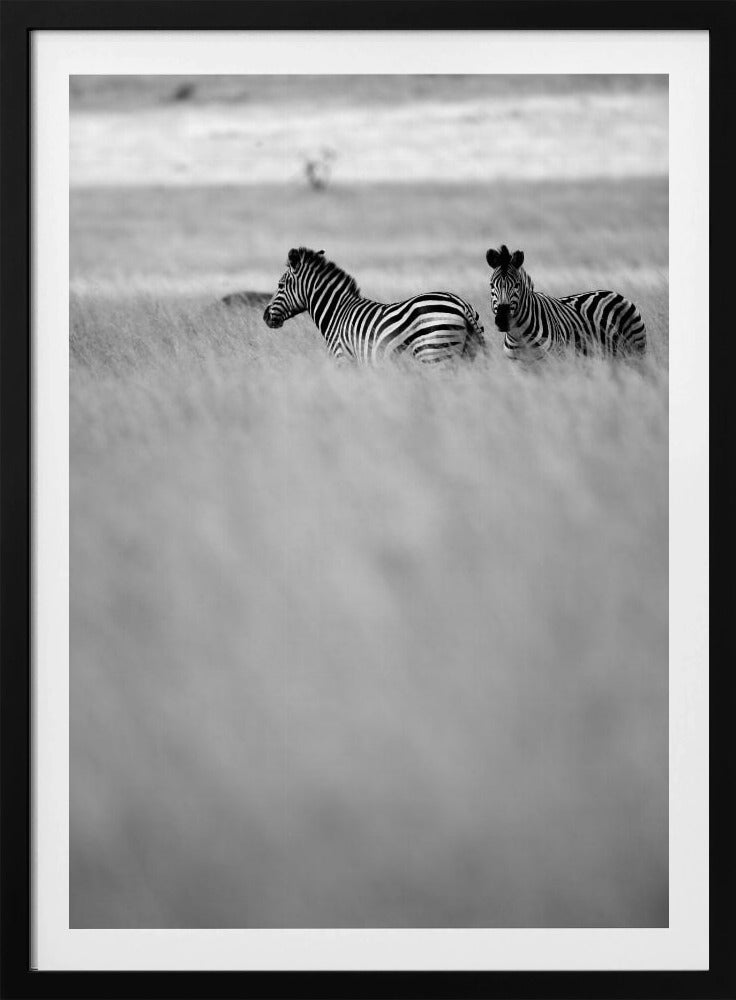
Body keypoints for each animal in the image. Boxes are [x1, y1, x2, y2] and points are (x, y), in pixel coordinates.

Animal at [263, 247, 485, 365]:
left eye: (280, 286)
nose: (265, 317)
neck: (337, 313)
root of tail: (460, 303)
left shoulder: (343, 359)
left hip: (434, 354)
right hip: (465, 356)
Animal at [486, 245, 647, 360]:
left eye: (517, 285)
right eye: (492, 285)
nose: (502, 320)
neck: (518, 335)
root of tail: (616, 293)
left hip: (635, 351)